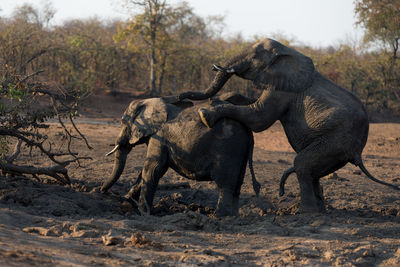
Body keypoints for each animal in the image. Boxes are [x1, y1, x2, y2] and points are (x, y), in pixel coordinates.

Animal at [101, 93, 260, 217]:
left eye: (123, 122)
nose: (102, 191)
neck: (150, 102)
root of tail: (249, 132)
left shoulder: (159, 136)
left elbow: (153, 169)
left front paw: (143, 212)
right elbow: (153, 170)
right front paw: (127, 200)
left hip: (229, 149)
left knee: (225, 184)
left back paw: (219, 216)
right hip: (241, 152)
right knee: (237, 184)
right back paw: (233, 216)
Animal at [179, 37, 400, 214]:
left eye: (254, 56)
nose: (181, 96)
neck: (286, 51)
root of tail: (359, 153)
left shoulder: (282, 88)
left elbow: (258, 118)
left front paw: (205, 114)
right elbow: (253, 108)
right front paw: (218, 101)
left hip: (336, 141)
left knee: (302, 164)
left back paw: (305, 213)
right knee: (313, 172)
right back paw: (318, 210)